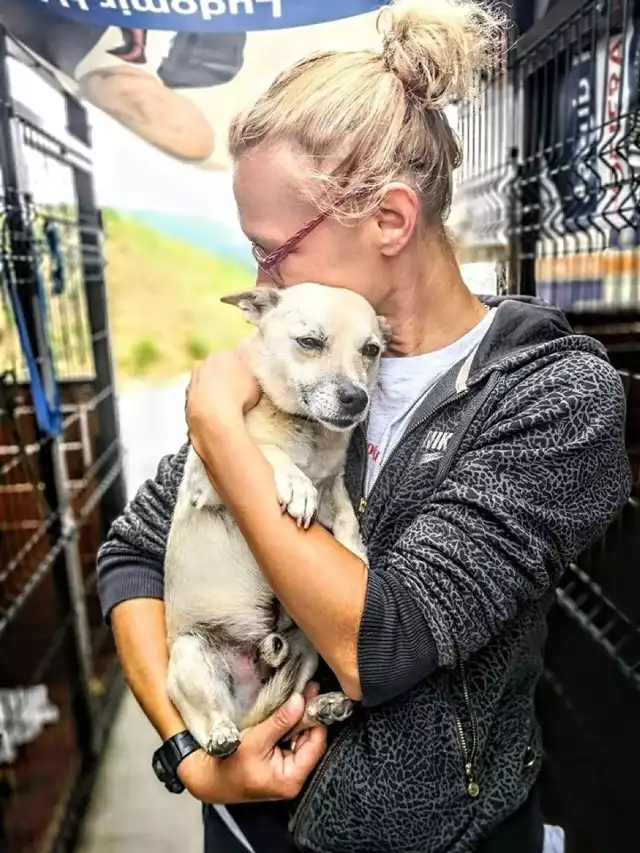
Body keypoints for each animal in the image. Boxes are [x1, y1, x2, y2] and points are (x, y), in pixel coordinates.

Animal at [162, 282, 388, 756]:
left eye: (371, 350)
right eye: (310, 342)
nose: (357, 398)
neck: (305, 429)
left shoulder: (334, 485)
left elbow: (344, 516)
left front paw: (356, 553)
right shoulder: (209, 477)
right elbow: (266, 450)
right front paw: (295, 483)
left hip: (306, 648)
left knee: (287, 717)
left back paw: (322, 707)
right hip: (192, 656)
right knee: (216, 728)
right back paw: (221, 735)